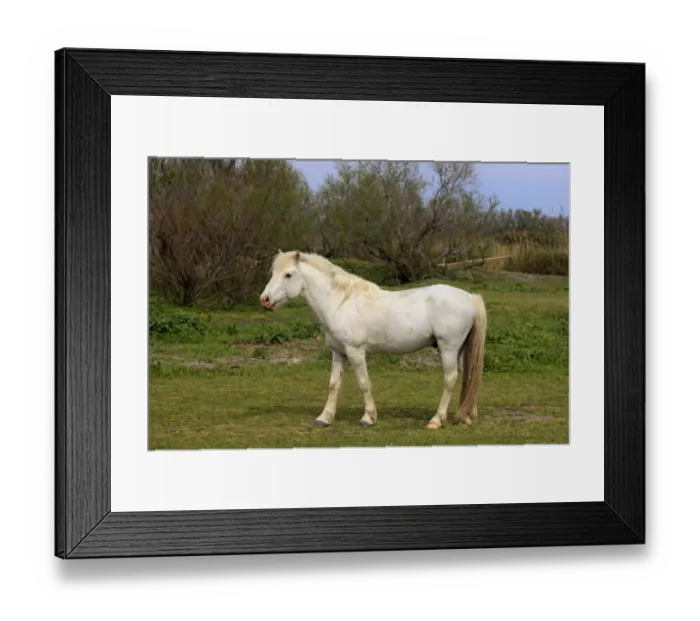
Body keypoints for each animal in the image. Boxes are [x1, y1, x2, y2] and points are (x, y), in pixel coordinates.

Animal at [259, 250, 487, 430]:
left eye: (288, 274)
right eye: (273, 273)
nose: (265, 299)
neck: (341, 303)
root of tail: (469, 297)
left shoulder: (355, 351)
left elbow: (364, 383)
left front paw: (368, 418)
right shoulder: (338, 352)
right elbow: (334, 384)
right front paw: (324, 418)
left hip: (448, 348)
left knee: (450, 379)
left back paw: (437, 420)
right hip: (460, 350)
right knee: (468, 376)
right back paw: (467, 417)